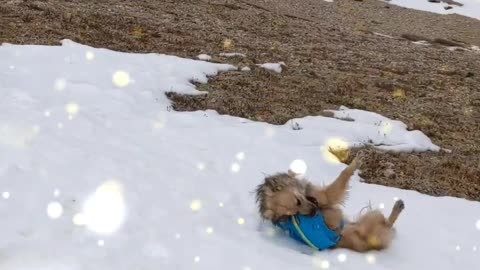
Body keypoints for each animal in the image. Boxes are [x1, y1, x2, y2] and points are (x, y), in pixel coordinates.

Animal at [255, 157, 404, 252]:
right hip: (372, 219)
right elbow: (342, 175)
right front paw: (355, 163)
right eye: (293, 214)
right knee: (387, 224)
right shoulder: (326, 196)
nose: (313, 213)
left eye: (297, 203)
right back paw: (398, 207)